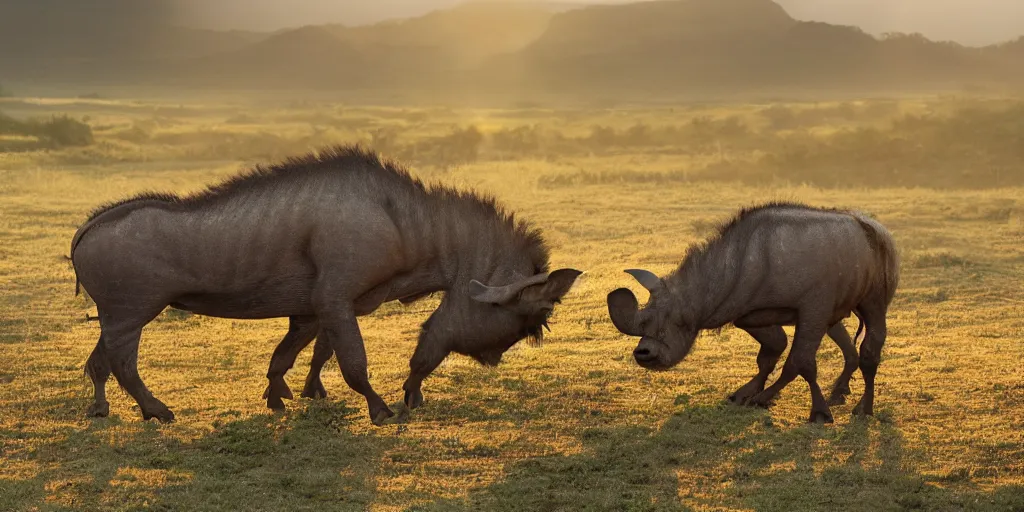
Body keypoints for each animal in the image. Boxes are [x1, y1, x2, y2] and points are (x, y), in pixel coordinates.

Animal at [70, 146, 585, 425]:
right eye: (522, 318)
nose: (494, 359)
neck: (408, 223)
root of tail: (87, 229)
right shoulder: (334, 301)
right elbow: (353, 362)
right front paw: (381, 409)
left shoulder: (323, 309)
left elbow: (302, 354)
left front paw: (286, 395)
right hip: (132, 316)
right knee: (122, 364)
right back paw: (156, 409)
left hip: (115, 317)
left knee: (98, 362)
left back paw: (101, 408)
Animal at [602, 201, 901, 421]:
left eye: (673, 324)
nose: (644, 354)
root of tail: (875, 229)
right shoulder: (750, 314)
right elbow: (771, 352)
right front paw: (745, 395)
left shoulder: (813, 308)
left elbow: (800, 362)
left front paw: (816, 413)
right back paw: (839, 394)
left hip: (876, 284)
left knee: (871, 336)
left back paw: (863, 409)